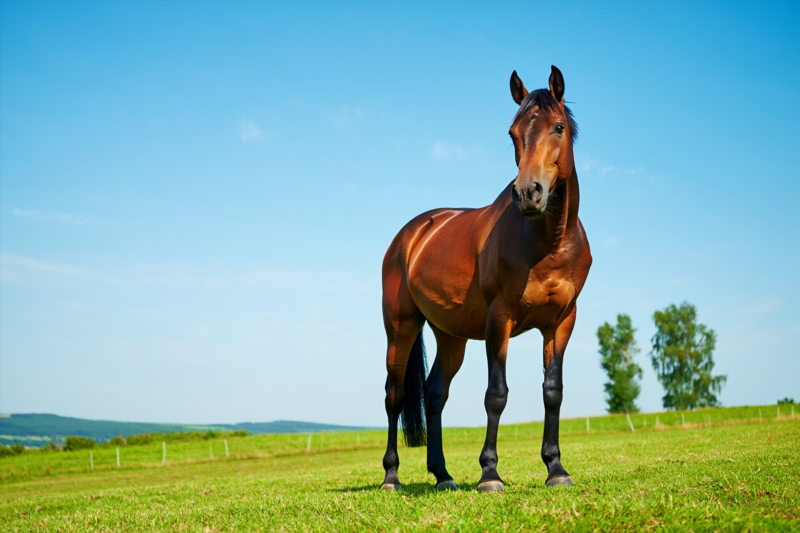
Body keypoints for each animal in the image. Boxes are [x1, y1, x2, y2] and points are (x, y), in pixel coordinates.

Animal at [380, 66, 592, 492]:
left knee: (435, 394)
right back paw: (391, 476)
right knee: (394, 396)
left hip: (451, 336)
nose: (528, 193)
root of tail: (410, 234)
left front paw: (556, 469)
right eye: (512, 133)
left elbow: (553, 391)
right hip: (401, 327)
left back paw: (443, 476)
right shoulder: (500, 319)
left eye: (558, 126)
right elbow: (496, 394)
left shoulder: (562, 321)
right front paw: (490, 474)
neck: (548, 244)